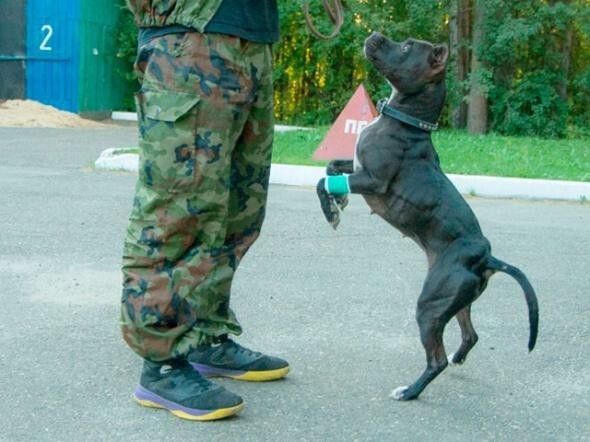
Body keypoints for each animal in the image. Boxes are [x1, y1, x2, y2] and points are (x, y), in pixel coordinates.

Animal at [320, 32, 540, 400]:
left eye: (408, 46)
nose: (374, 34)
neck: (407, 120)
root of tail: (487, 257)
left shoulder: (372, 180)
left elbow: (321, 180)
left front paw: (330, 210)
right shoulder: (358, 168)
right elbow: (330, 167)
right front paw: (338, 203)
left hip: (430, 304)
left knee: (435, 359)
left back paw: (409, 391)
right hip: (456, 300)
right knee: (470, 335)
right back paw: (457, 358)